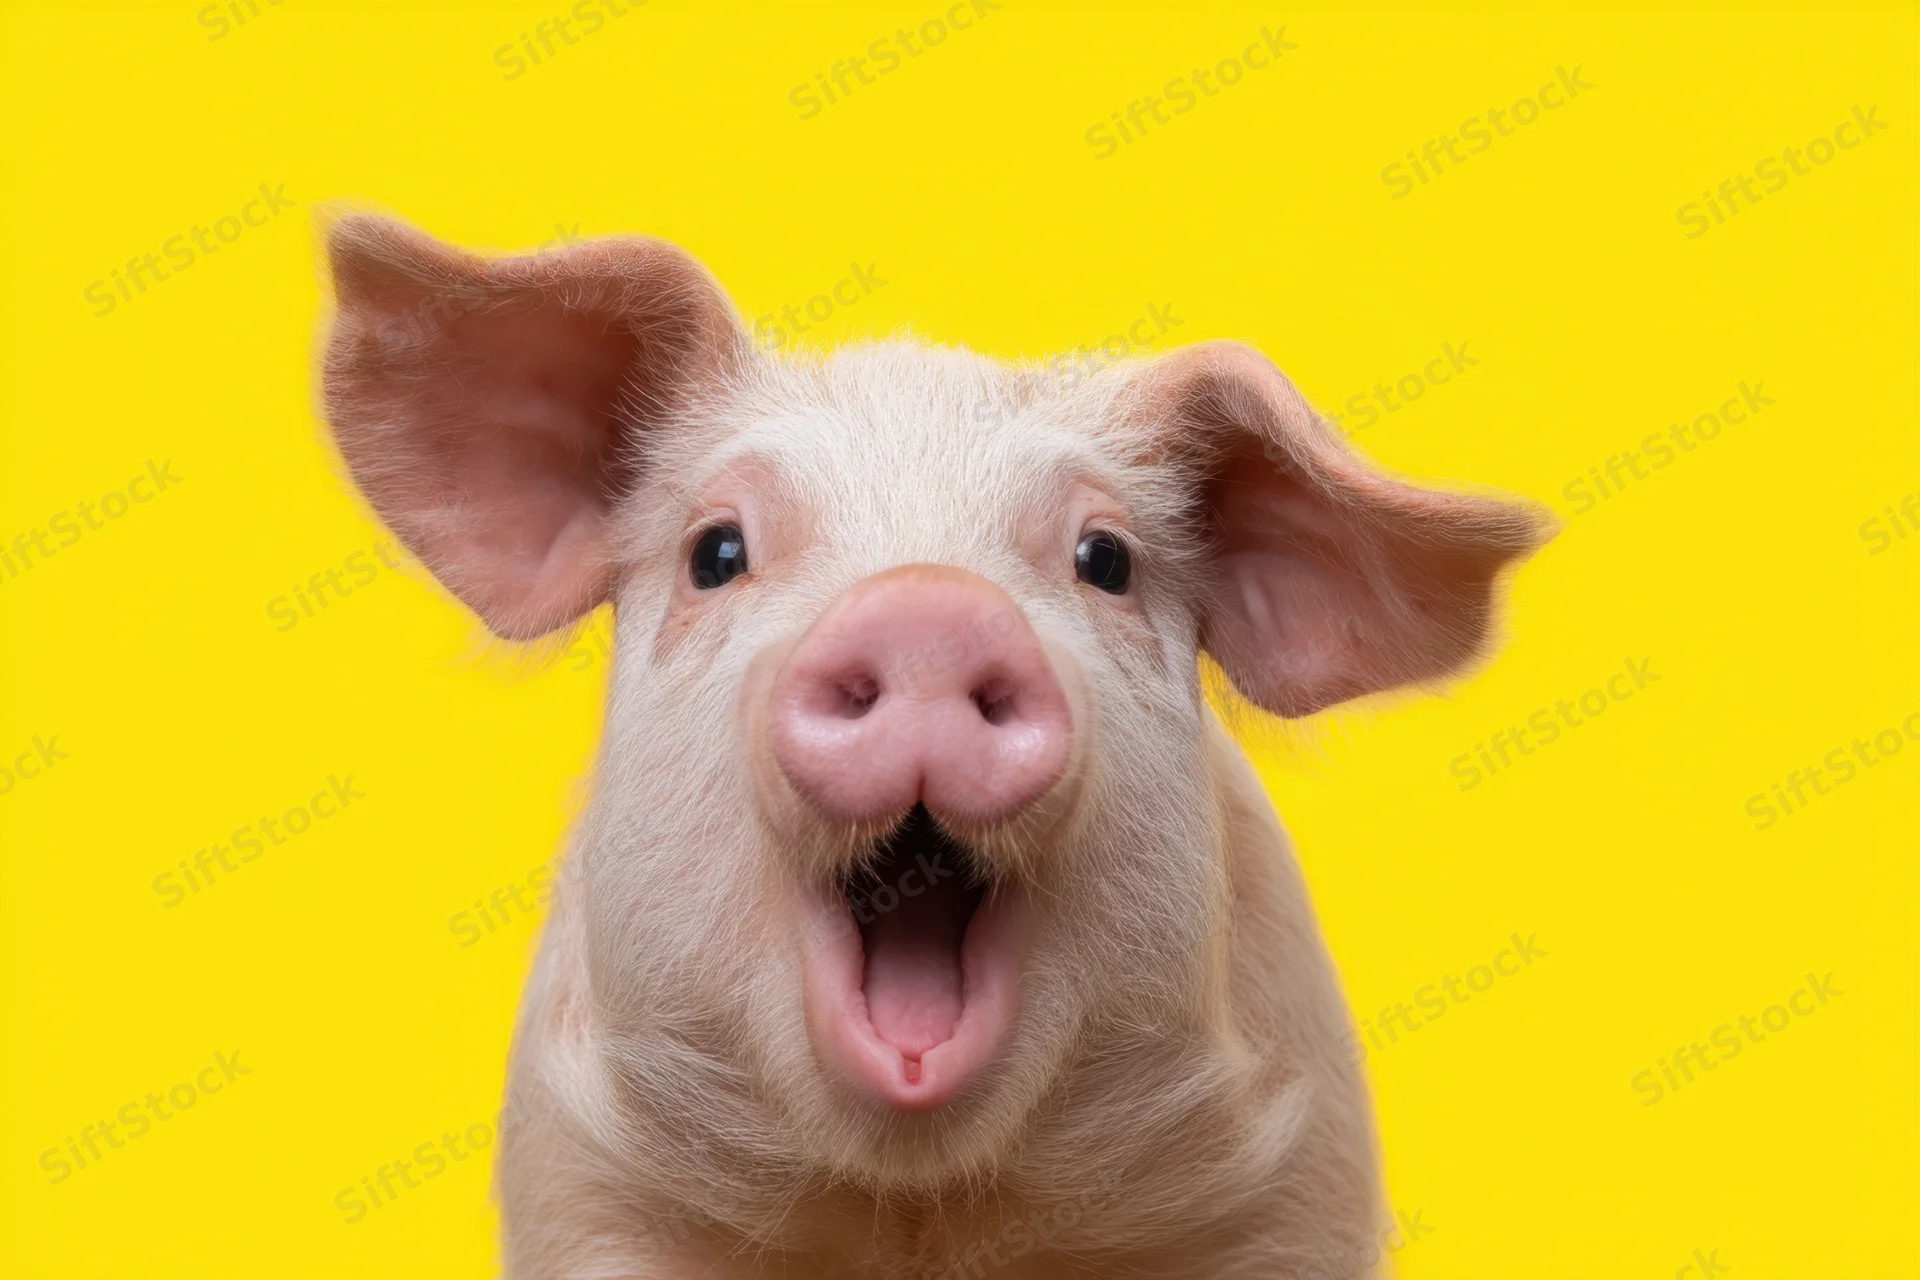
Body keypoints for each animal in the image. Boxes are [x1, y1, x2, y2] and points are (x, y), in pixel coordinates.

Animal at [317, 213, 1550, 1279]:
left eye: (1106, 560)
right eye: (717, 551)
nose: (927, 607)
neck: (917, 1215)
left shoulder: (1292, 1189)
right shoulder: (585, 1183)